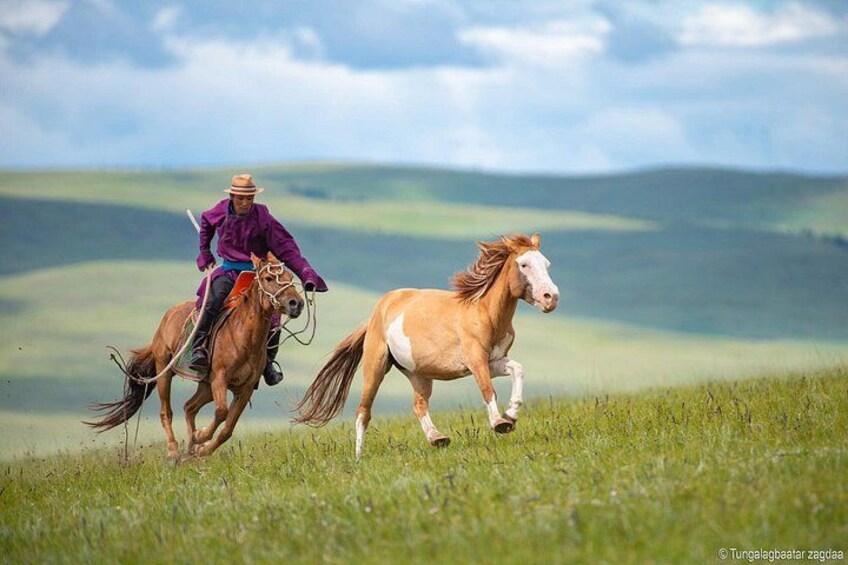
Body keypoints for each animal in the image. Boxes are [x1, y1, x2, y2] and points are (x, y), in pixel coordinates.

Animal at [86, 252, 305, 459]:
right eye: (269, 278)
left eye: (290, 277)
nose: (296, 303)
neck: (244, 337)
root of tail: (168, 315)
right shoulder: (220, 379)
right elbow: (222, 412)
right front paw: (201, 437)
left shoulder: (245, 388)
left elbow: (227, 429)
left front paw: (201, 448)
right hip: (165, 371)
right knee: (167, 412)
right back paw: (174, 452)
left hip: (205, 386)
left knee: (189, 407)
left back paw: (190, 448)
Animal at [294, 233, 559, 458]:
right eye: (523, 264)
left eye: (546, 264)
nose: (551, 298)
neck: (484, 313)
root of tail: (377, 312)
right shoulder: (475, 359)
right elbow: (487, 389)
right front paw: (500, 423)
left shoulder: (493, 361)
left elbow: (518, 369)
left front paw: (511, 415)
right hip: (375, 367)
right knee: (363, 411)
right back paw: (359, 457)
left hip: (418, 374)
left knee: (418, 406)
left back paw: (437, 438)